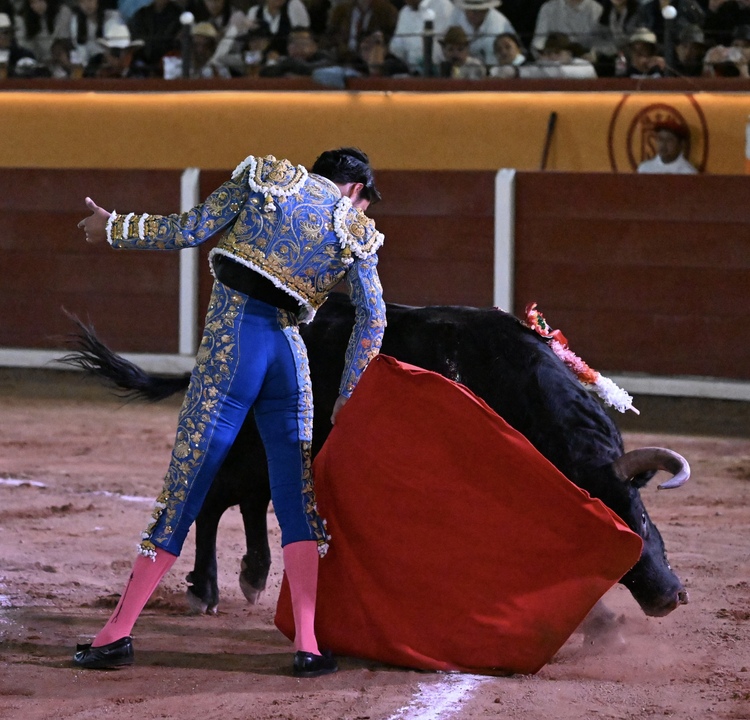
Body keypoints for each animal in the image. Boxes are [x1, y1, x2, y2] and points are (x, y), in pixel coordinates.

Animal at [61, 293, 690, 629]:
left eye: (641, 517)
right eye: (617, 527)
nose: (670, 595)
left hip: (271, 450)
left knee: (250, 499)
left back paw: (254, 574)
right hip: (244, 440)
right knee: (216, 497)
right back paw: (207, 589)